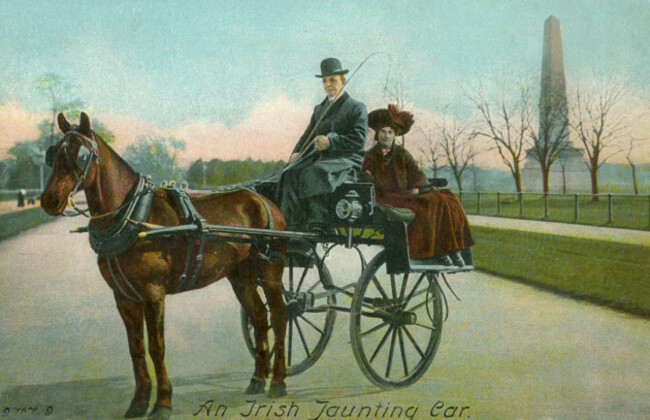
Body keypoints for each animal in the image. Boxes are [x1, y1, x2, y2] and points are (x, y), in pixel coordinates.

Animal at [38, 112, 286, 420]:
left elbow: (157, 347)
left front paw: (163, 402)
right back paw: (257, 379)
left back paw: (278, 382)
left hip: (271, 271)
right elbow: (136, 348)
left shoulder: (153, 293)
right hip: (241, 276)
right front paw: (139, 402)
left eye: (81, 155)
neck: (134, 217)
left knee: (279, 316)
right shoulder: (124, 297)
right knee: (260, 316)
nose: (49, 200)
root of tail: (263, 200)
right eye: (54, 153)